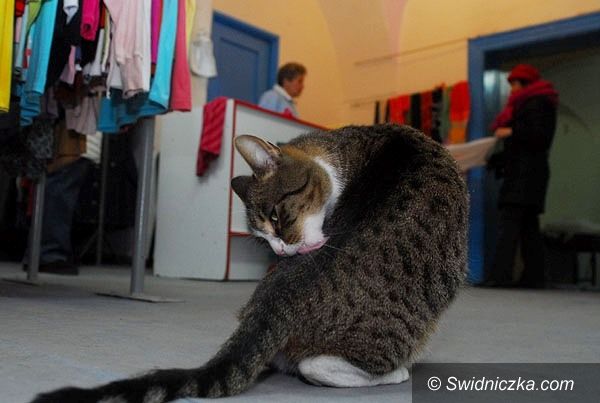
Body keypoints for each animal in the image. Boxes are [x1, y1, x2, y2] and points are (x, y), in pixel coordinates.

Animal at [32, 124, 468, 403]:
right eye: (264, 238)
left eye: (276, 218)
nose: (282, 254)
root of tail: (272, 306)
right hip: (402, 330)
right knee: (321, 366)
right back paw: (398, 372)